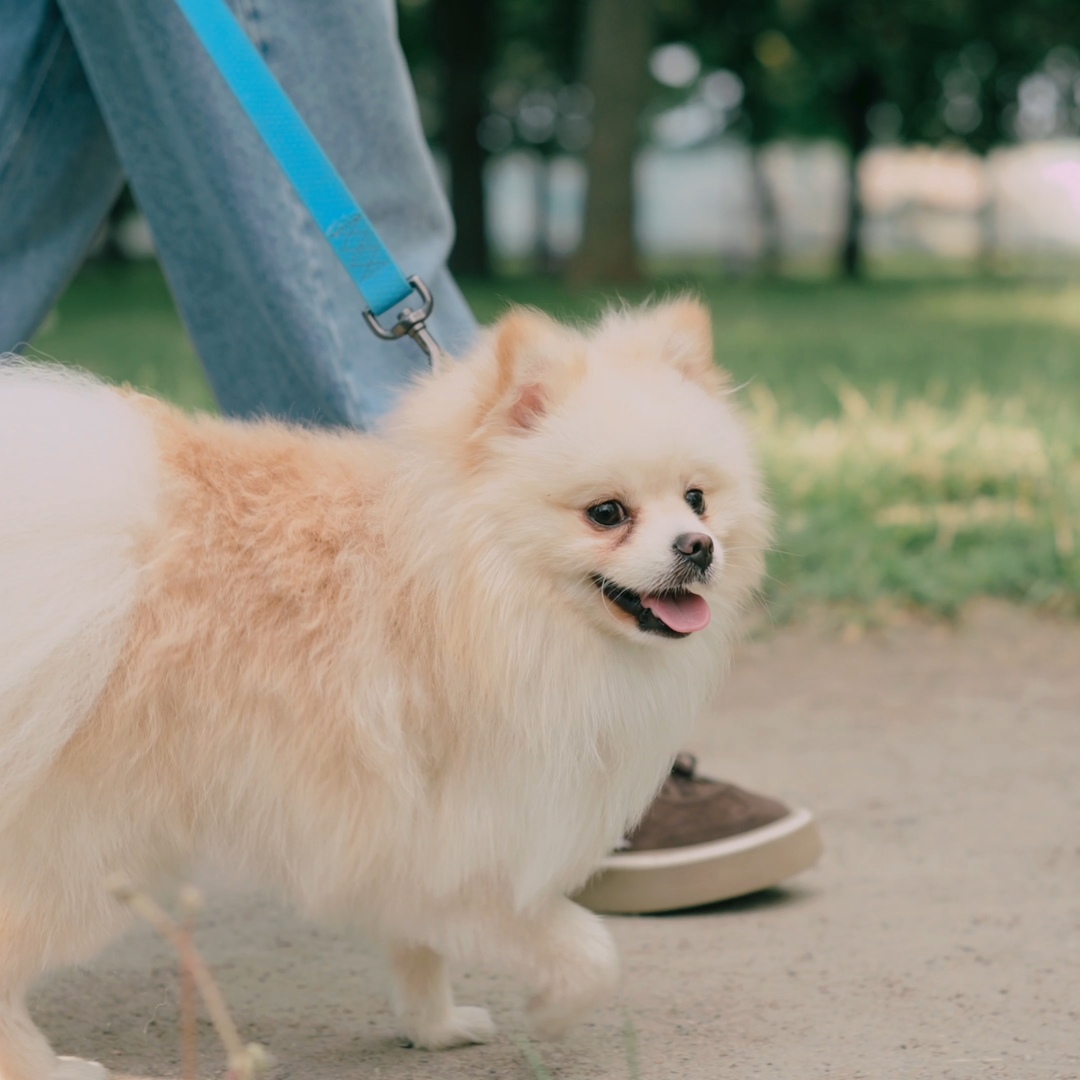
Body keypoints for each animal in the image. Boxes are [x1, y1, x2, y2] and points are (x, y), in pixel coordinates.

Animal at [0, 300, 768, 1075]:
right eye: (607, 513)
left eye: (697, 499)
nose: (698, 546)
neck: (467, 582)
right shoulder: (452, 831)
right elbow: (588, 948)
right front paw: (553, 1008)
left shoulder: (409, 840)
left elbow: (419, 948)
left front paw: (434, 1025)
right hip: (90, 848)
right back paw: (43, 1064)